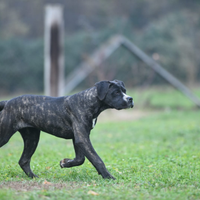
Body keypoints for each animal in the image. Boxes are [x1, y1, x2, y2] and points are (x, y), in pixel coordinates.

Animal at [0, 79, 134, 180]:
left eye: (125, 91)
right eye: (116, 92)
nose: (130, 99)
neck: (89, 101)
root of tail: (7, 103)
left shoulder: (78, 137)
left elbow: (80, 159)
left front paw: (65, 163)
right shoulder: (82, 138)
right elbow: (97, 159)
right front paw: (108, 177)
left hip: (32, 138)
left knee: (24, 160)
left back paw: (34, 177)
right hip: (6, 136)